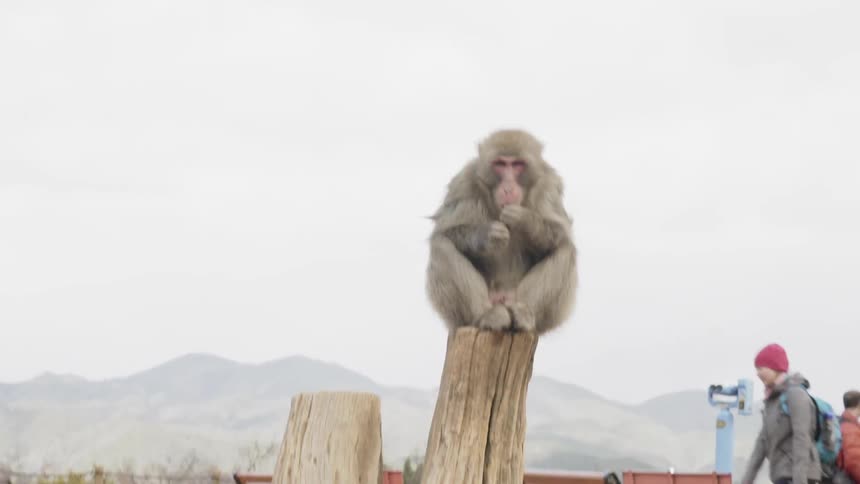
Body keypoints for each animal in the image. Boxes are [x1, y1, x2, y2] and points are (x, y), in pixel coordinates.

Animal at [425, 129, 578, 335]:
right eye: (500, 164)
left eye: (517, 165)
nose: (508, 188)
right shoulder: (464, 183)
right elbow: (446, 231)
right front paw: (487, 235)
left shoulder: (549, 186)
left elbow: (561, 232)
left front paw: (524, 220)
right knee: (441, 245)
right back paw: (486, 315)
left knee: (565, 250)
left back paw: (523, 313)